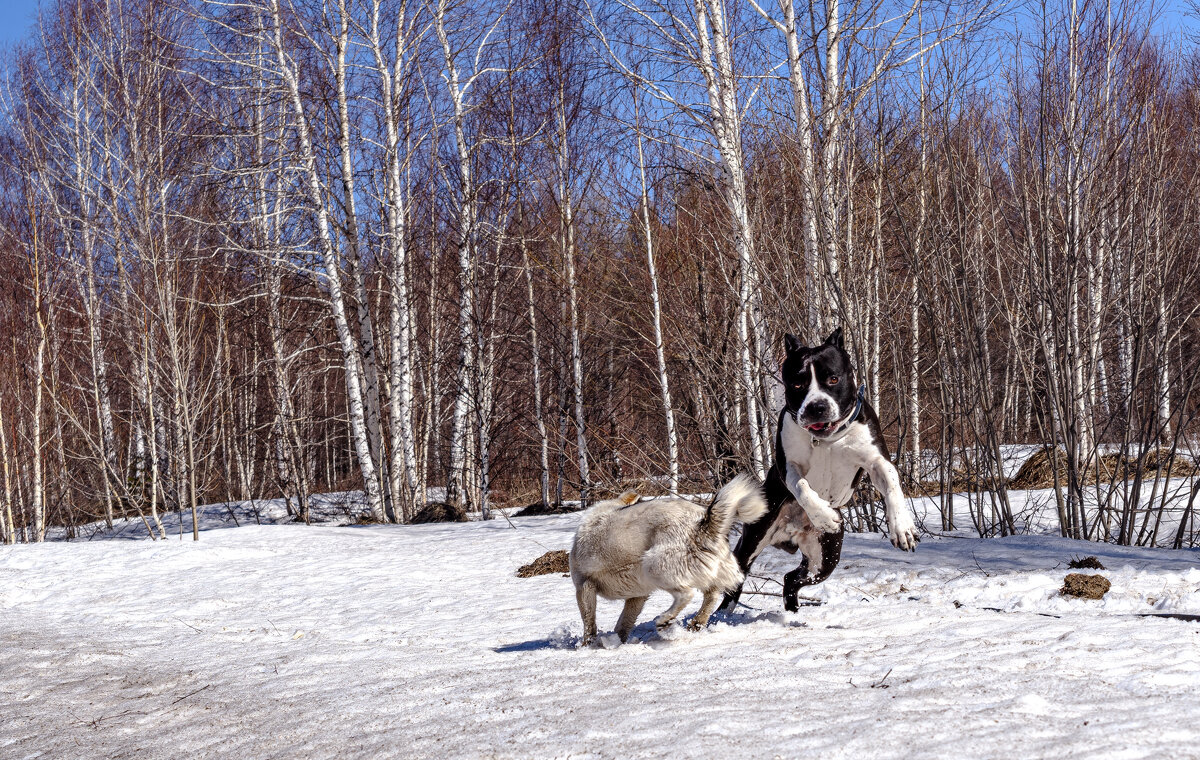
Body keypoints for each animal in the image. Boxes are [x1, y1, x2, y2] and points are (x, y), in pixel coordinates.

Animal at [571, 477, 768, 643]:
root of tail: (705, 523)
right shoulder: (637, 597)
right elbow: (624, 622)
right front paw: (616, 642)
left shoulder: (584, 586)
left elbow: (589, 622)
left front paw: (588, 645)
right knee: (711, 595)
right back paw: (696, 623)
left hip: (653, 567)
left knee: (686, 594)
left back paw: (665, 620)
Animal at [720, 328, 916, 614]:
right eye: (797, 384)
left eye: (833, 378)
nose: (816, 406)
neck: (827, 439)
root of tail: (790, 534)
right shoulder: (788, 467)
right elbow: (802, 487)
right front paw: (823, 515)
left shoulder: (876, 460)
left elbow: (891, 484)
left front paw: (902, 528)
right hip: (754, 537)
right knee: (737, 577)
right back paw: (719, 616)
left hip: (824, 558)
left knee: (791, 578)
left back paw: (792, 611)